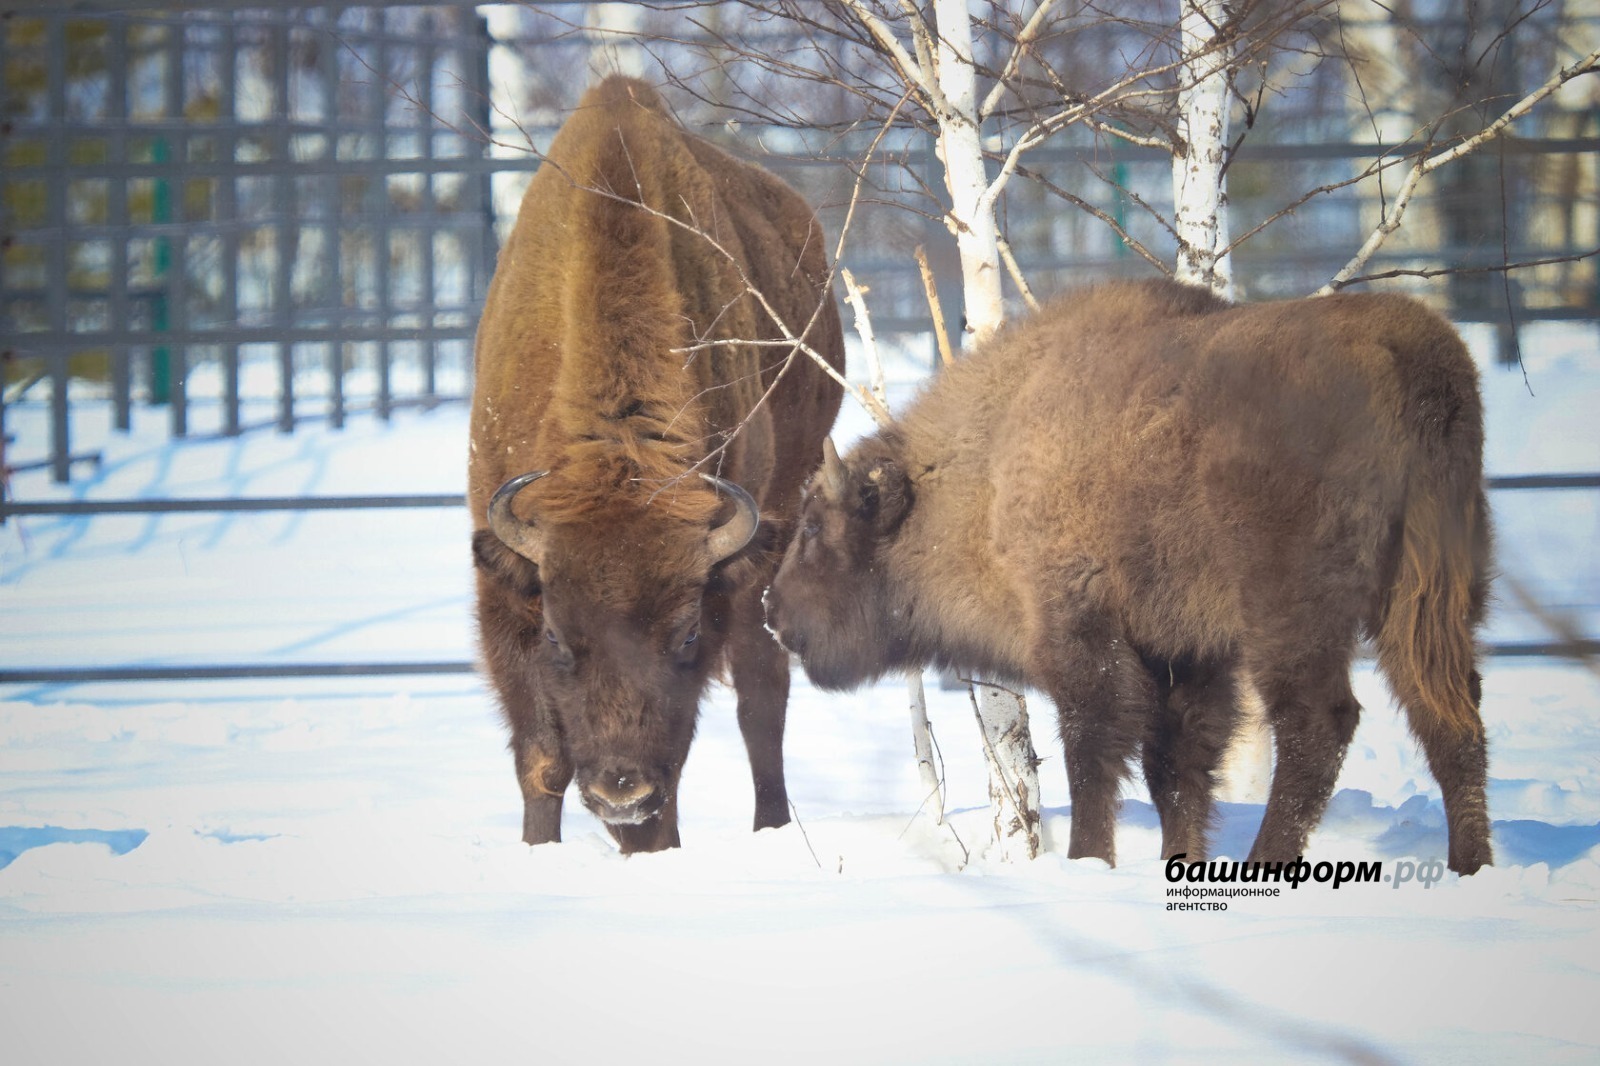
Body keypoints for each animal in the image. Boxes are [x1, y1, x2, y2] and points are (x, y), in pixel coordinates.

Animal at [470, 77, 845, 853]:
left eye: (686, 633)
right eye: (557, 636)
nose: (621, 790)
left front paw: (652, 844)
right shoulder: (503, 585)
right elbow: (543, 758)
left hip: (778, 529)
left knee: (763, 700)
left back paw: (771, 828)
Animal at [767, 279, 1493, 874]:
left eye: (814, 529)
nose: (774, 611)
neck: (989, 467)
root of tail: (1415, 358)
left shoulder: (1084, 634)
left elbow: (1094, 754)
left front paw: (1090, 860)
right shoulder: (1185, 654)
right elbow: (1174, 768)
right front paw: (1179, 860)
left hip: (1294, 616)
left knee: (1319, 725)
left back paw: (1266, 864)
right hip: (1428, 598)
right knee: (1450, 718)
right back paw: (1471, 866)